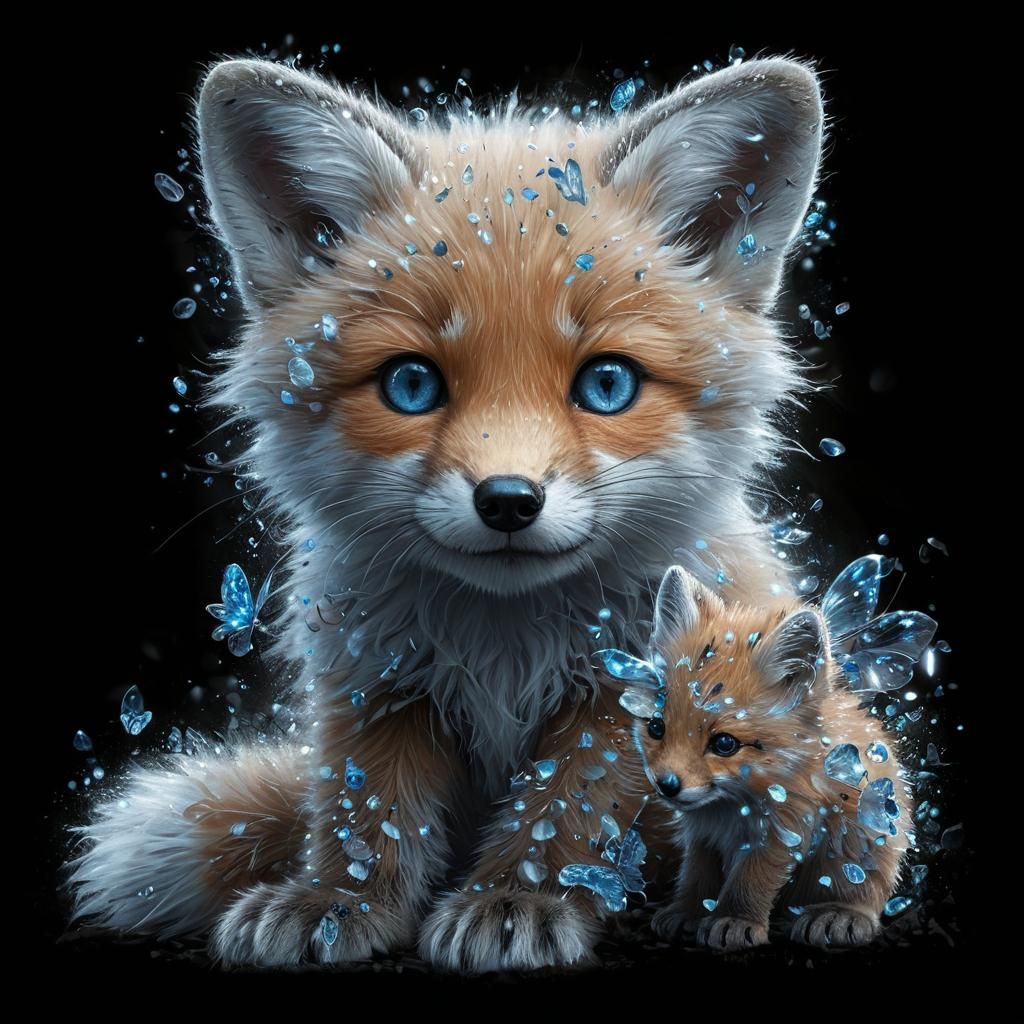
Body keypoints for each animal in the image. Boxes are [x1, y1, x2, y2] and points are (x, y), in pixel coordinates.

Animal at [66, 55, 826, 971]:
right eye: (411, 383)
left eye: (608, 384)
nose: (509, 501)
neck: (505, 643)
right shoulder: (375, 680)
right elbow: (365, 811)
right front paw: (340, 904)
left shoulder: (626, 693)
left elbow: (565, 811)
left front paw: (518, 900)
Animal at [617, 566, 913, 950]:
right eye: (656, 727)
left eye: (724, 744)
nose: (666, 785)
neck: (729, 807)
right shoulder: (702, 835)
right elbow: (697, 874)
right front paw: (690, 911)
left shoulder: (786, 826)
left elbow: (750, 880)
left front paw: (735, 920)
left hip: (860, 836)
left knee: (863, 890)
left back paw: (839, 913)